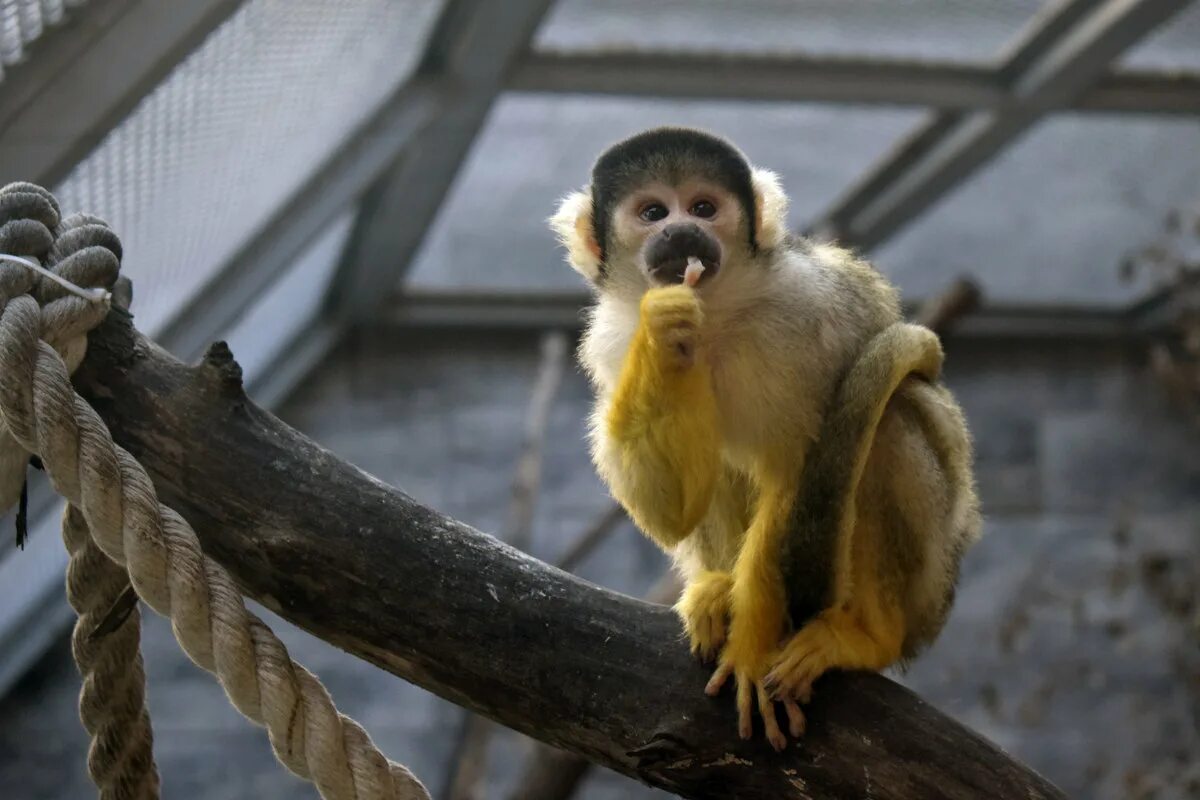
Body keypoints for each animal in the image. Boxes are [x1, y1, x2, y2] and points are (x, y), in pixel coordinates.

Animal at [549, 126, 979, 753]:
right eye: (653, 213)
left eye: (704, 207)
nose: (681, 231)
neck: (718, 311)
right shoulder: (612, 338)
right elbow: (671, 510)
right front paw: (666, 322)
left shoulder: (804, 314)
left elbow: (791, 473)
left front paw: (751, 652)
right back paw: (716, 586)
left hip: (931, 587)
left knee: (890, 422)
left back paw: (869, 635)